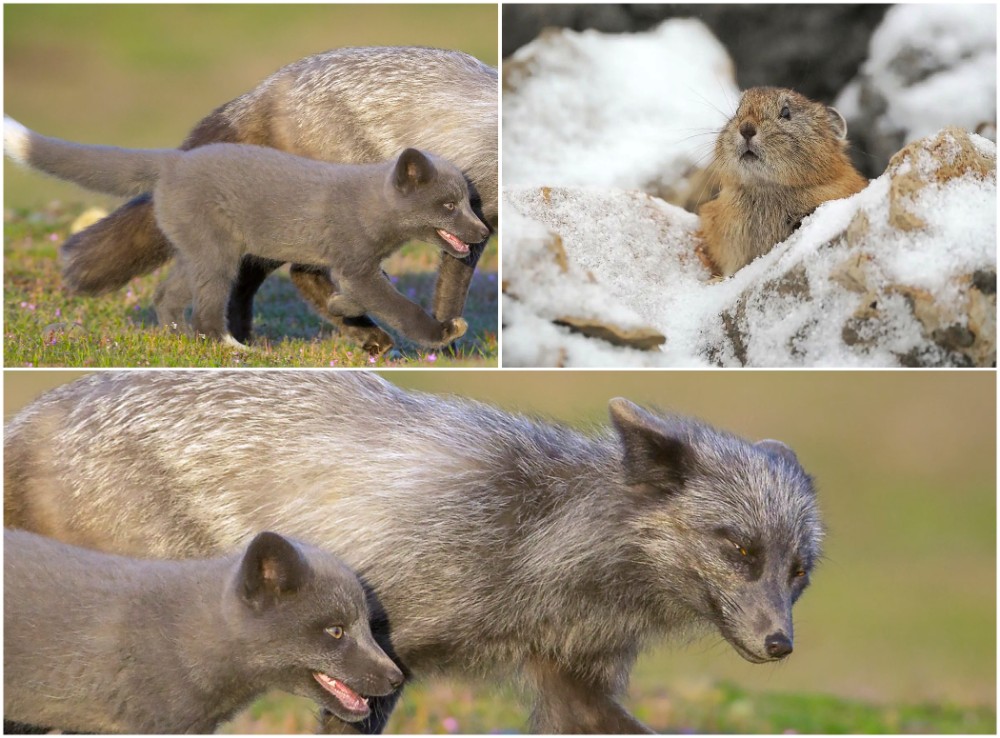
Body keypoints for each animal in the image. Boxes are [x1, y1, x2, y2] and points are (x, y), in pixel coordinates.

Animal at [3, 374, 824, 732]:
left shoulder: (573, 681)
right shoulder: (373, 663)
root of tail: (34, 414)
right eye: (738, 548)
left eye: (797, 573)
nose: (781, 645)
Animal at [54, 46, 496, 350]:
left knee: (255, 276)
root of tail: (268, 86)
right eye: (449, 206)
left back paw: (249, 335)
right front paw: (446, 342)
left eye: (461, 204)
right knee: (300, 273)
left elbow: (450, 285)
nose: (478, 232)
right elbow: (448, 291)